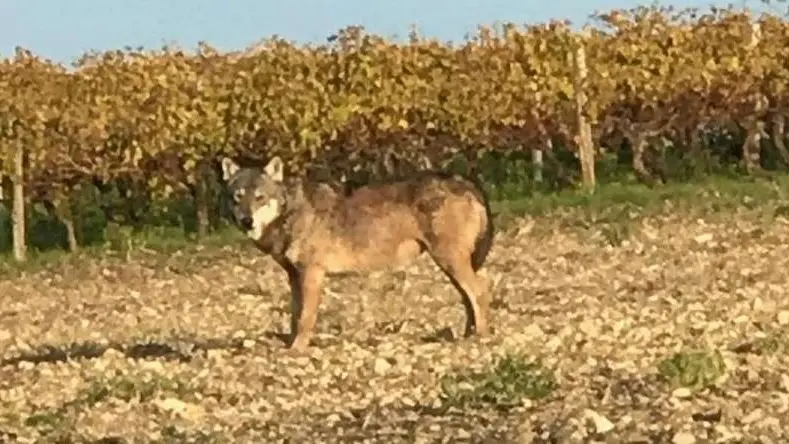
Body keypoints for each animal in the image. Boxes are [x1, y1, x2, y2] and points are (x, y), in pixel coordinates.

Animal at [220, 156, 496, 350]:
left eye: (260, 198)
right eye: (237, 198)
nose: (246, 221)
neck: (291, 212)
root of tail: (466, 182)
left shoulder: (312, 273)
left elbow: (305, 318)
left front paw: (297, 349)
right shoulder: (294, 276)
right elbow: (294, 315)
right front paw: (291, 344)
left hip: (449, 261)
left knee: (480, 292)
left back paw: (480, 338)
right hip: (450, 266)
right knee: (468, 298)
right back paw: (467, 334)